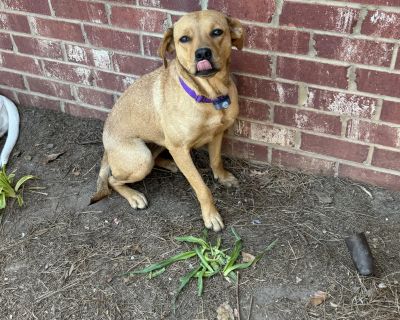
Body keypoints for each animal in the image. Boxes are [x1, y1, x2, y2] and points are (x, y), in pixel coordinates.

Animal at [91, 9, 244, 230]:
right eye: (184, 39)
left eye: (217, 32)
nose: (202, 53)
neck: (208, 94)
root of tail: (106, 148)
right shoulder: (179, 148)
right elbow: (201, 187)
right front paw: (211, 215)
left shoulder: (217, 133)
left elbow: (216, 160)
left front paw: (222, 177)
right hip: (141, 157)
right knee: (113, 180)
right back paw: (134, 195)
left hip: (158, 145)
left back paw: (169, 164)